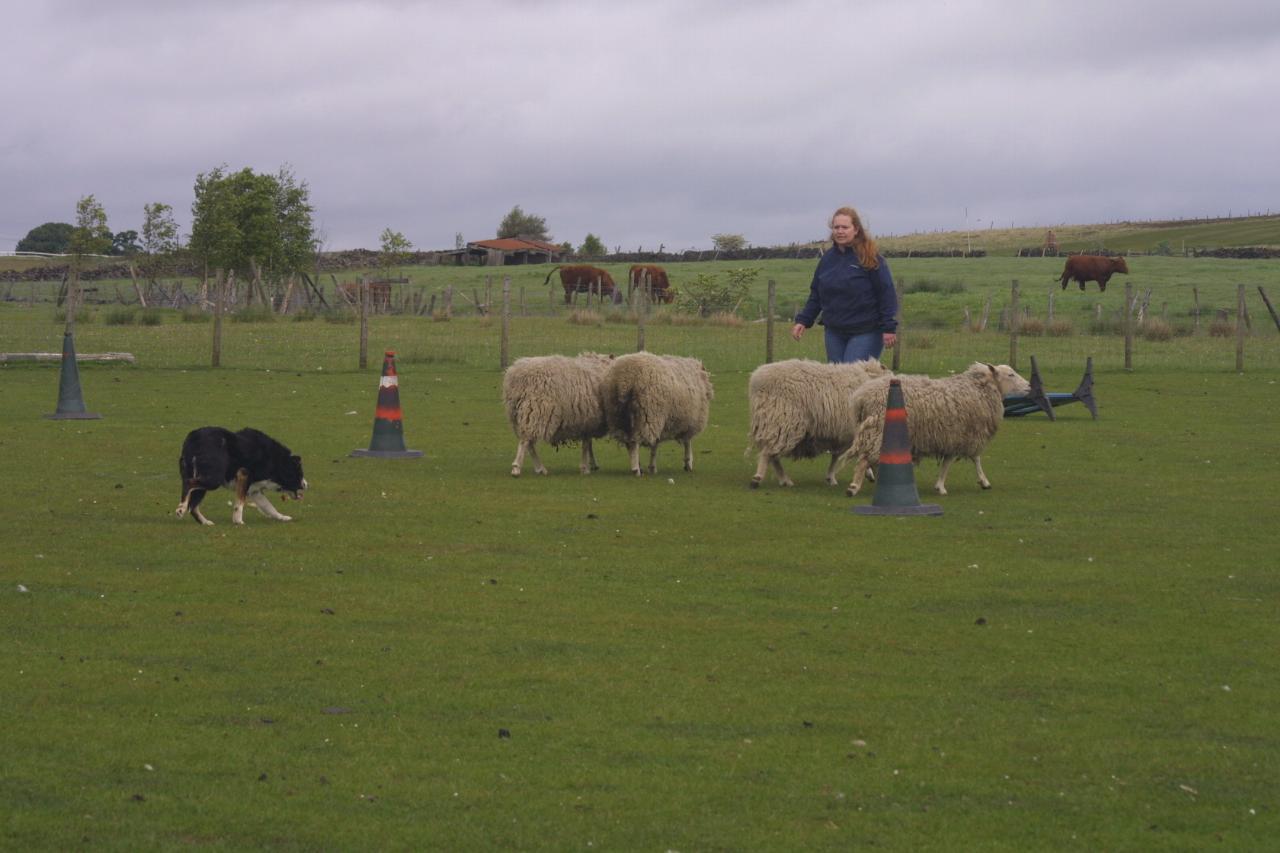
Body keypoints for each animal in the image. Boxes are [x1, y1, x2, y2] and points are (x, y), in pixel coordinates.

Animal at [746, 357, 891, 488]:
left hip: (776, 425)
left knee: (773, 455)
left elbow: (839, 455)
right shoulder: (850, 432)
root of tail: (756, 379)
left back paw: (784, 480)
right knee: (768, 453)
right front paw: (833, 477)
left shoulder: (846, 433)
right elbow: (841, 455)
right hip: (783, 422)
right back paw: (758, 478)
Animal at [839, 362, 1031, 496]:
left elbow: (954, 461)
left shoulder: (954, 437)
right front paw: (981, 482)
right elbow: (970, 459)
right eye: (1010, 374)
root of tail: (862, 397)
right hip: (878, 429)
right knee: (864, 458)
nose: (1029, 386)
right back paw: (853, 487)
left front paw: (942, 485)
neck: (980, 389)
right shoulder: (963, 435)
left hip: (872, 430)